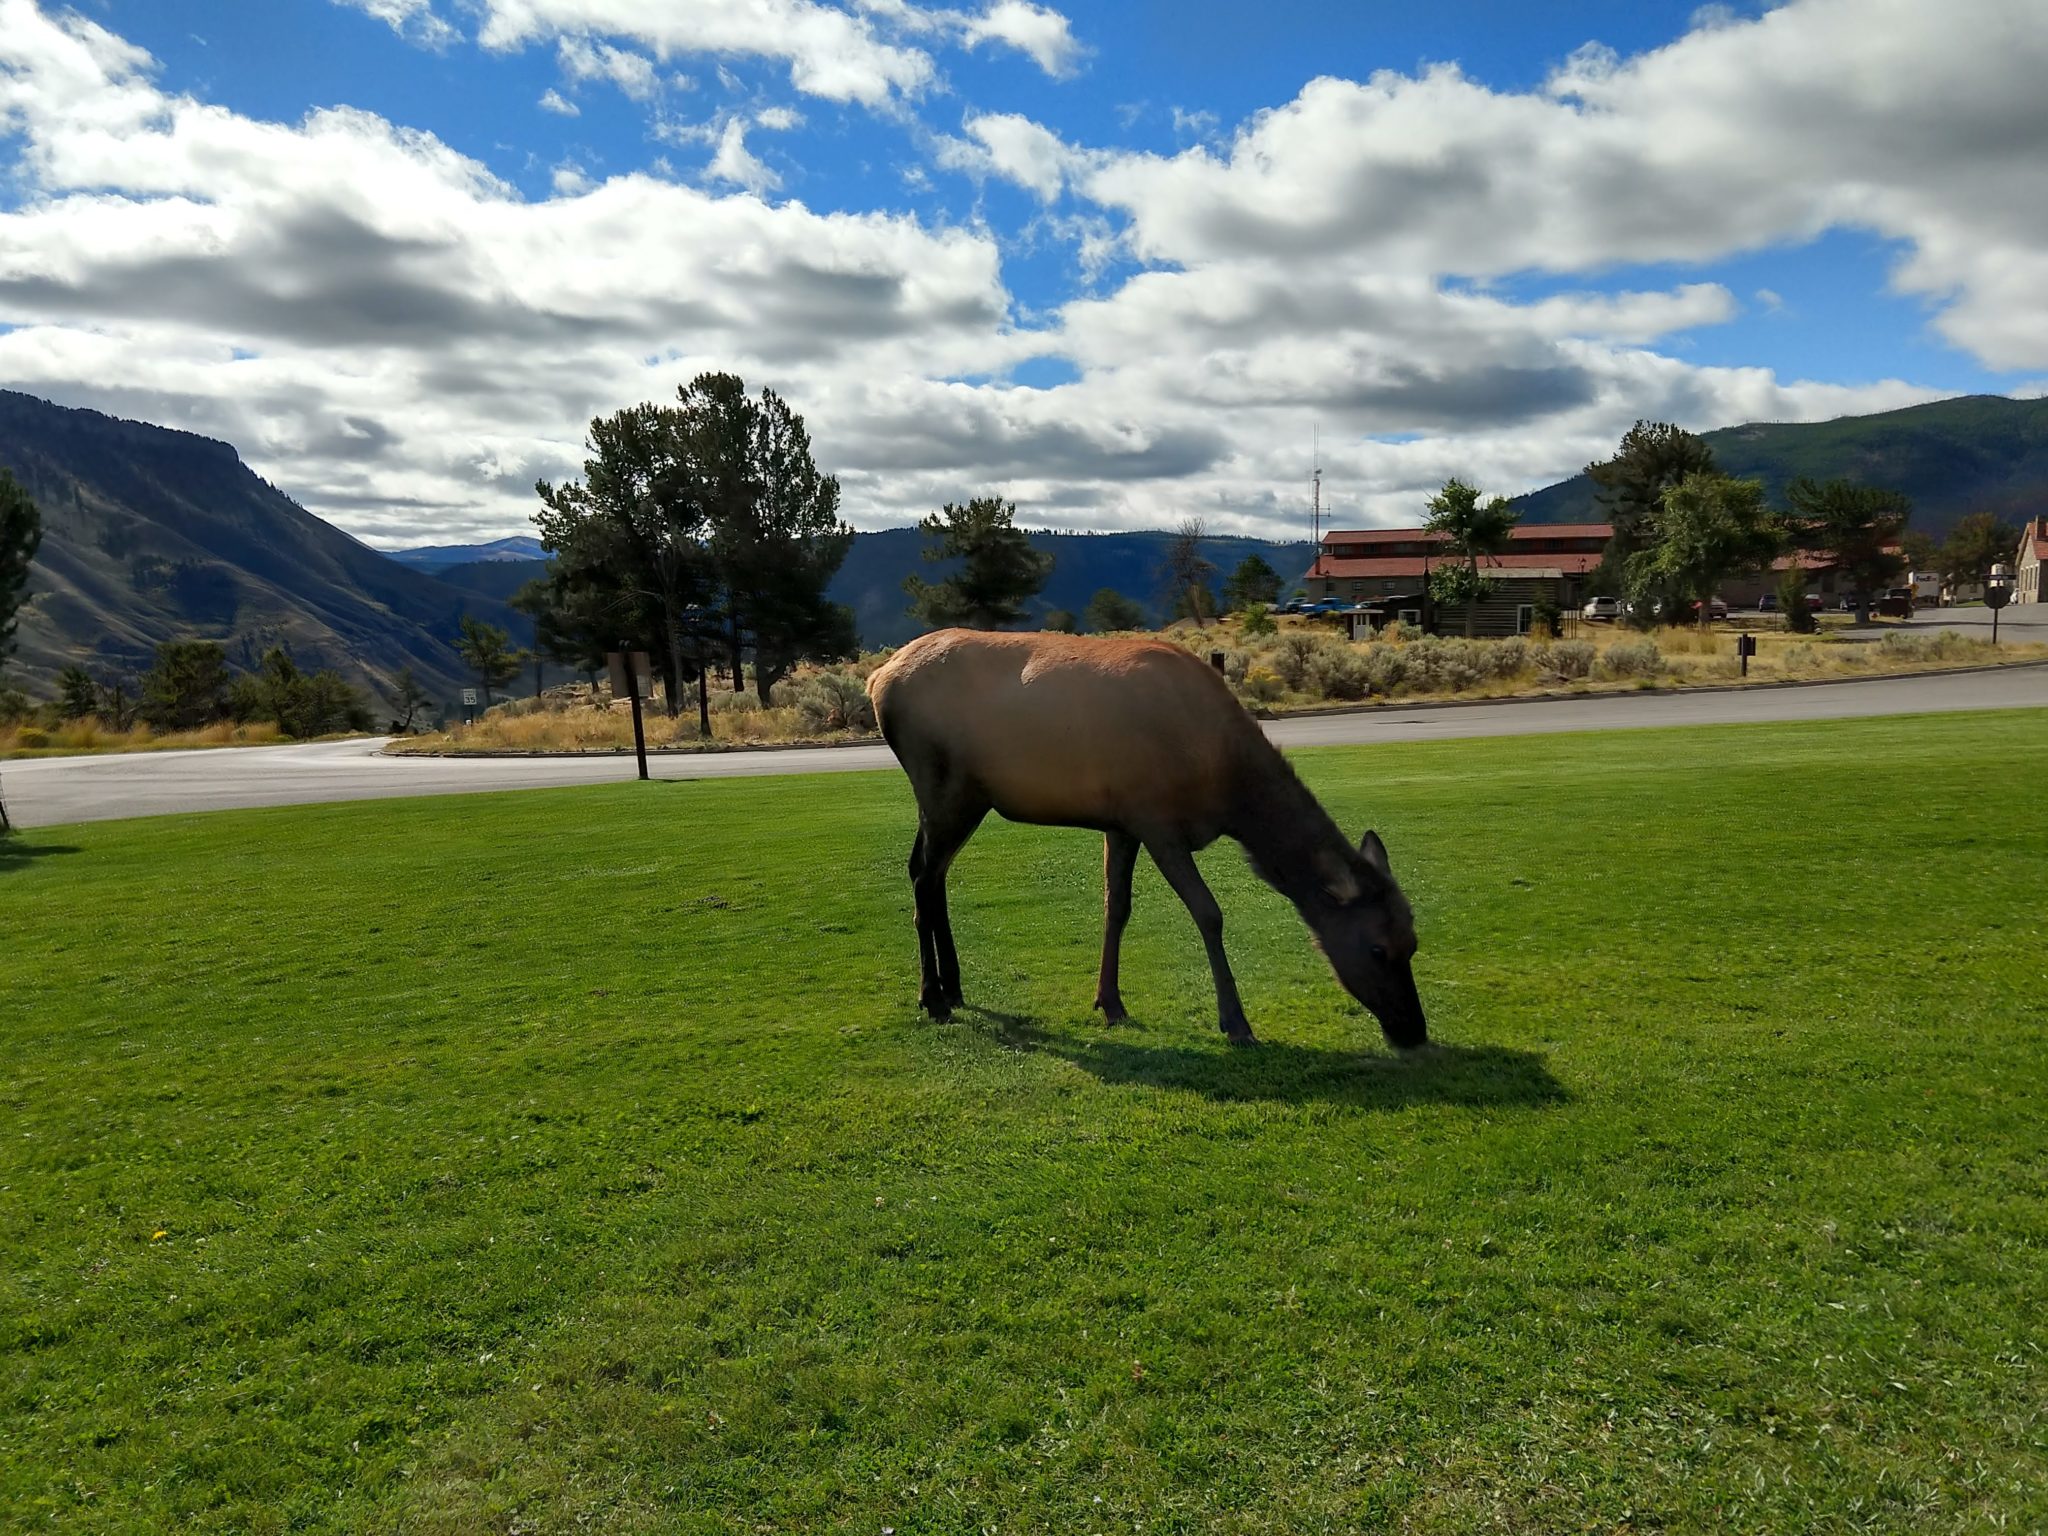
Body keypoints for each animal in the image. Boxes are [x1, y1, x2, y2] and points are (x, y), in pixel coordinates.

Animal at [864, 630, 1425, 1056]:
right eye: (1378, 948)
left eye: (1414, 942)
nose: (1415, 1032)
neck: (1226, 786)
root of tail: (876, 679)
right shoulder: (1155, 819)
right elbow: (1208, 912)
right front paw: (1237, 1024)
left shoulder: (1121, 822)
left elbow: (1117, 906)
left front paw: (1109, 1002)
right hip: (945, 786)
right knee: (923, 874)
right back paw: (933, 997)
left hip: (960, 797)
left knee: (928, 871)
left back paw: (954, 988)